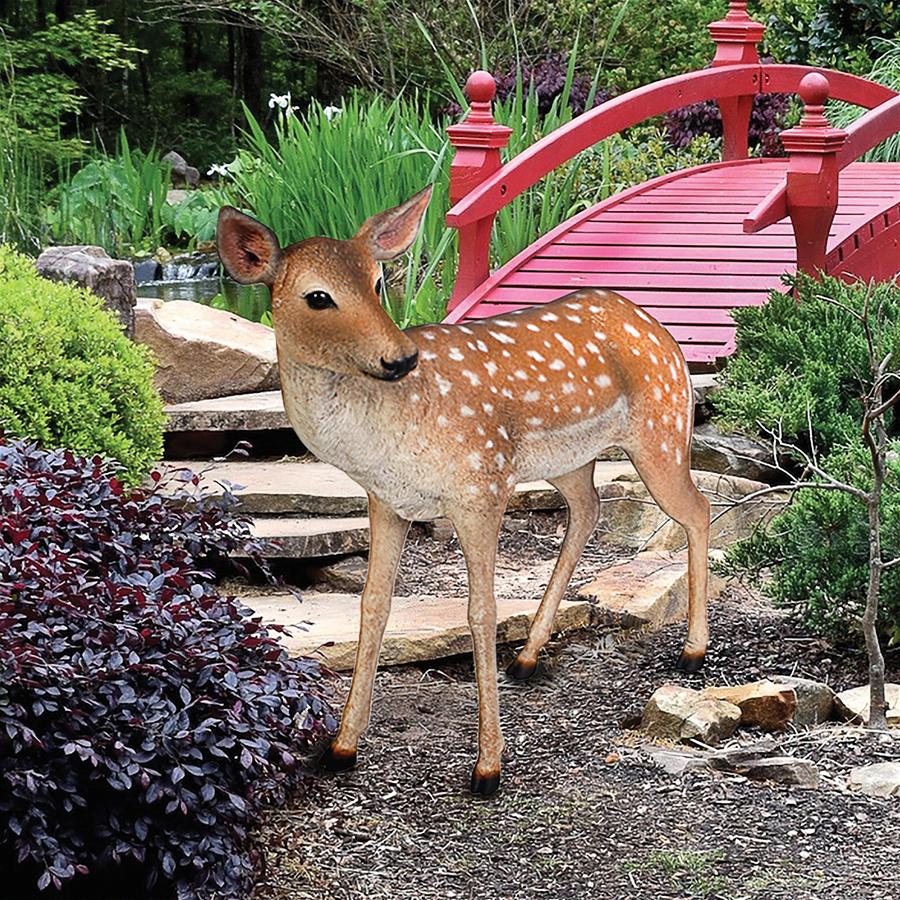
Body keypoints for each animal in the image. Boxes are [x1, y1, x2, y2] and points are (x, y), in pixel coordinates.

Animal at [218, 188, 712, 796]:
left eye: (378, 282)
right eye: (317, 296)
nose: (401, 357)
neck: (387, 431)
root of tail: (660, 329)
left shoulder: (481, 484)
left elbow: (481, 611)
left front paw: (488, 768)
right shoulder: (387, 500)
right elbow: (374, 604)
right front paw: (340, 748)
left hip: (660, 430)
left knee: (697, 509)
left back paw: (692, 652)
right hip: (568, 460)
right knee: (589, 508)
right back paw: (527, 659)